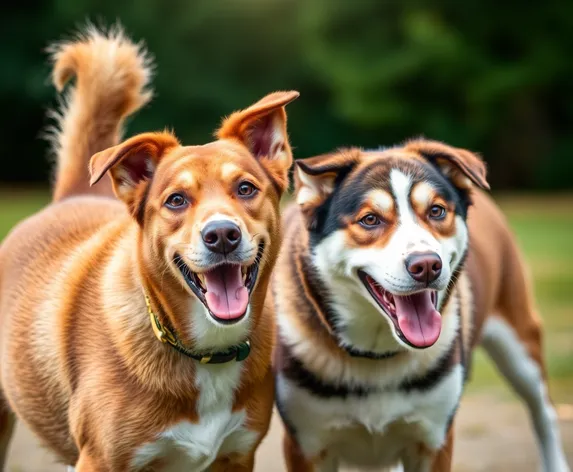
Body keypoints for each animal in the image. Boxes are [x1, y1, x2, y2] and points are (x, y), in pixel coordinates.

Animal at [0, 27, 298, 470]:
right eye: (176, 200)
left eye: (245, 188)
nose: (222, 235)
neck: (205, 352)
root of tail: (72, 195)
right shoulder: (100, 460)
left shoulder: (237, 456)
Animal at [272, 142, 568, 470]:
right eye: (370, 219)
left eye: (436, 211)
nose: (426, 265)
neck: (378, 357)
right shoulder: (306, 445)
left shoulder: (433, 441)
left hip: (521, 345)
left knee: (543, 412)